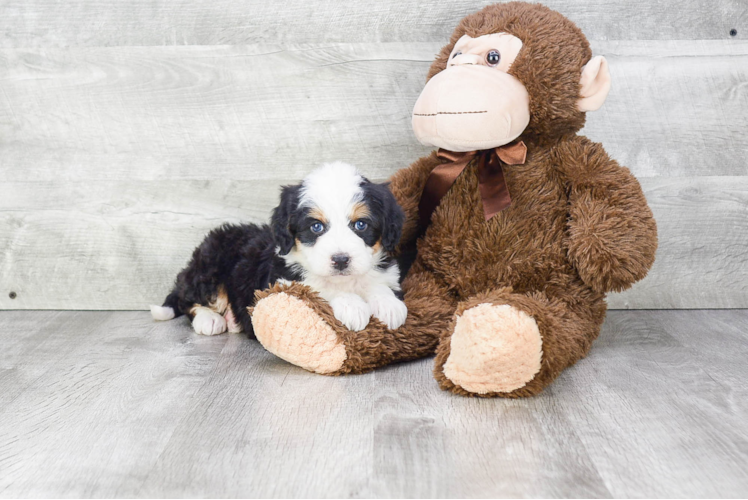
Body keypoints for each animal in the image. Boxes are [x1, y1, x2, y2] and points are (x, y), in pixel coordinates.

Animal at [151, 163, 406, 336]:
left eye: (360, 225)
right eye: (316, 227)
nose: (341, 260)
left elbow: (379, 285)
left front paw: (390, 306)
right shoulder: (283, 281)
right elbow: (320, 288)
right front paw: (352, 306)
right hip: (210, 267)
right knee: (188, 301)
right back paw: (210, 320)